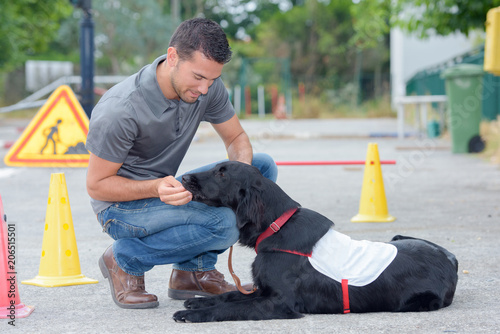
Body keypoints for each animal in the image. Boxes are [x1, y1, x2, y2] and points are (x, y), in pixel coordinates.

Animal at [174, 162, 458, 324]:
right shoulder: (263, 290)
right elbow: (230, 296)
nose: (184, 178)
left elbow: (232, 307)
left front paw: (192, 314)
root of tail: (451, 259)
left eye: (222, 174)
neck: (278, 226)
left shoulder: (279, 302)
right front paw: (198, 302)